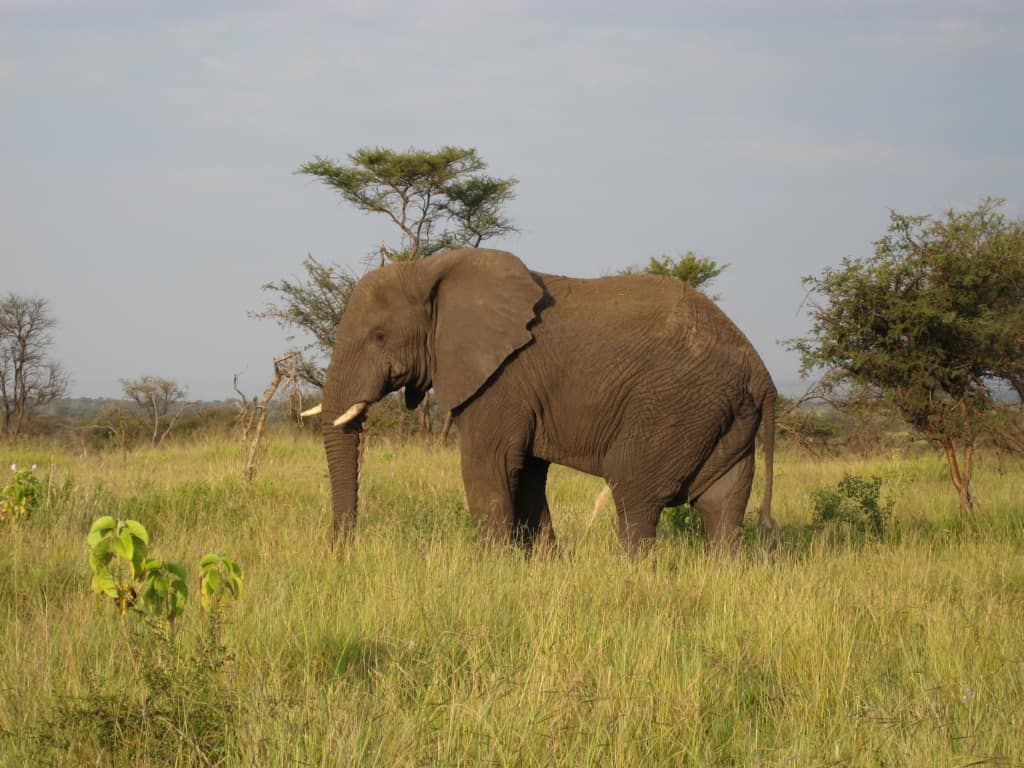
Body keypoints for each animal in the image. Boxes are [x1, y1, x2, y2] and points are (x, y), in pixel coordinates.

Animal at [311, 246, 774, 552]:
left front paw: (490, 569)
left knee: (635, 494)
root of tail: (760, 370)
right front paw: (542, 563)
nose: (341, 549)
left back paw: (630, 571)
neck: (430, 269)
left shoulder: (503, 378)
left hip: (675, 406)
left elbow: (490, 466)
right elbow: (529, 475)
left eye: (379, 337)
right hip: (724, 415)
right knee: (722, 505)